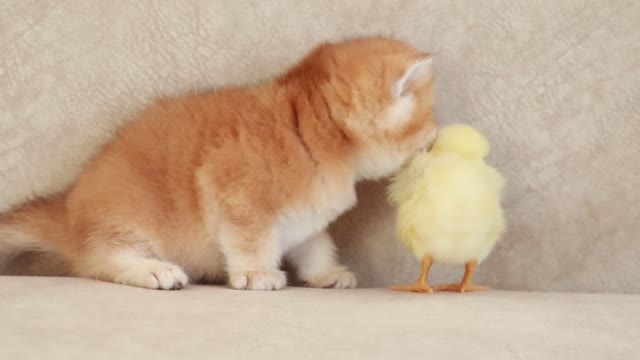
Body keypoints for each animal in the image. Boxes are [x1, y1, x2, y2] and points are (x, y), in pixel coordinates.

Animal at [0, 37, 436, 290]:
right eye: (428, 117)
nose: (435, 136)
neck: (304, 132)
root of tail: (68, 206)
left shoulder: (306, 218)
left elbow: (315, 246)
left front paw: (325, 273)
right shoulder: (235, 193)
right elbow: (251, 240)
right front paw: (257, 274)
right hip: (124, 220)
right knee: (96, 261)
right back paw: (154, 270)